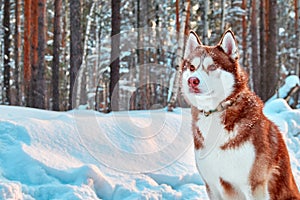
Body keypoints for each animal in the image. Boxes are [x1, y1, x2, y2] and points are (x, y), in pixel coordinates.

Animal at [180, 29, 300, 200]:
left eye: (213, 66)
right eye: (191, 67)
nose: (192, 80)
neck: (215, 112)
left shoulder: (254, 185)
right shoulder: (212, 185)